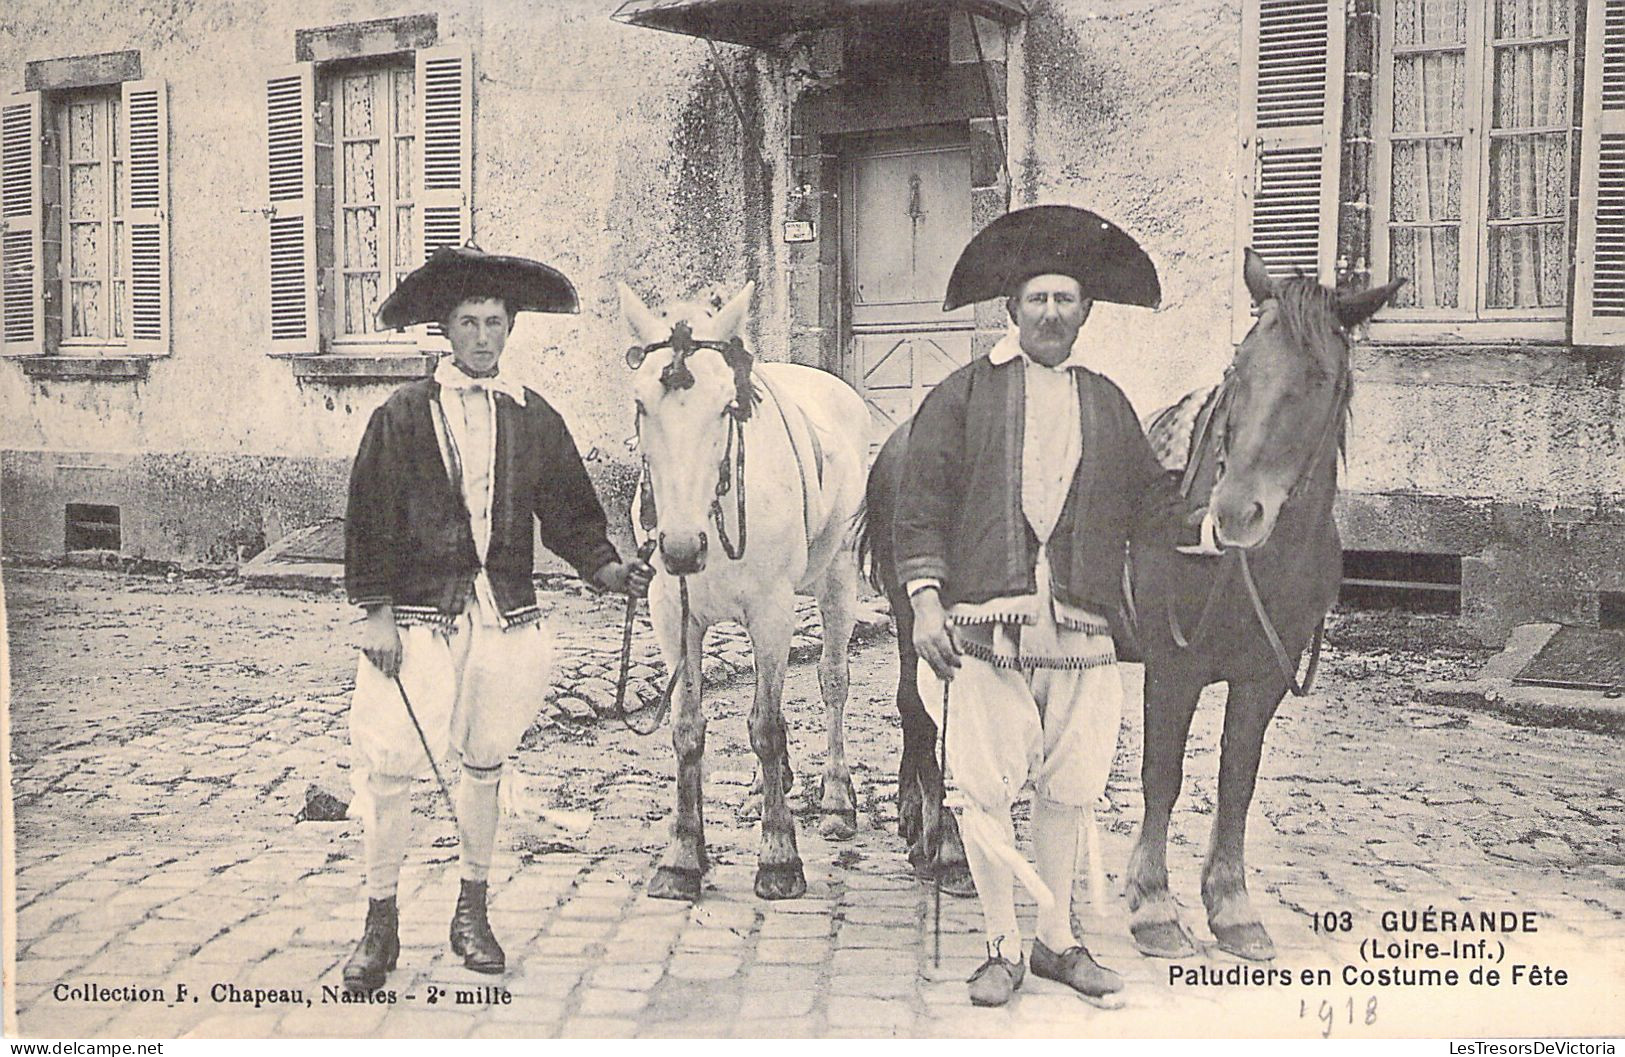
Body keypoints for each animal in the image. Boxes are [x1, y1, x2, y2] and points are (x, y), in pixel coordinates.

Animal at [614, 279, 871, 897]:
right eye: (641, 405)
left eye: (727, 408)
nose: (682, 548)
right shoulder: (673, 616)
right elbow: (687, 730)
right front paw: (683, 856)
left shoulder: (772, 611)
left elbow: (766, 727)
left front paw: (779, 857)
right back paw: (766, 786)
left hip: (837, 580)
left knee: (832, 682)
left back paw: (836, 798)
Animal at [1124, 250, 1404, 956]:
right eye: (1239, 368)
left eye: (1321, 377)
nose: (1232, 513)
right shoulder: (1173, 668)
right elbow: (1162, 774)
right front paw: (1153, 906)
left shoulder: (1261, 681)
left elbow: (1237, 780)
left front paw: (1230, 907)